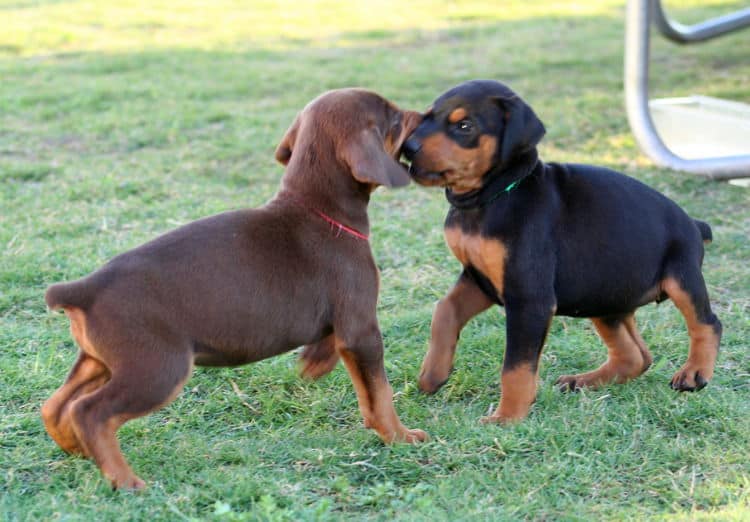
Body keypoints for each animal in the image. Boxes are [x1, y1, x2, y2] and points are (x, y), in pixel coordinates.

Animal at [42, 87, 428, 490]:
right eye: (395, 118)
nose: (424, 116)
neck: (320, 209)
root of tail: (85, 288)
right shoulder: (361, 326)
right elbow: (379, 393)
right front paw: (400, 436)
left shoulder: (345, 324)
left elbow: (340, 356)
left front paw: (314, 363)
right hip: (158, 368)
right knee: (90, 412)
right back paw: (124, 479)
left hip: (101, 360)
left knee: (56, 406)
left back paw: (79, 449)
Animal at [402, 81, 724, 422]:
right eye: (426, 116)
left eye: (465, 126)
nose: (408, 147)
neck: (494, 197)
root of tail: (694, 224)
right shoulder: (479, 278)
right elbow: (444, 310)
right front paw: (433, 374)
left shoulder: (528, 297)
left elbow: (516, 366)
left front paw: (507, 418)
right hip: (604, 297)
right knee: (635, 356)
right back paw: (582, 381)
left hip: (681, 276)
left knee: (706, 323)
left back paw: (694, 373)